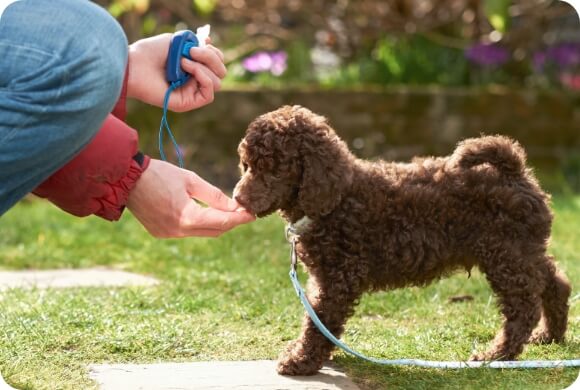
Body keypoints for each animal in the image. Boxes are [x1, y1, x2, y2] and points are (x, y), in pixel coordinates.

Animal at [232, 105, 572, 376]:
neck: (337, 199)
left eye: (274, 169)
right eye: (246, 165)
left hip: (506, 254)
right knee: (555, 282)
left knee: (523, 307)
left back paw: (497, 355)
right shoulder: (325, 277)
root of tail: (514, 171)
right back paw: (550, 335)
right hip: (523, 251)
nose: (237, 198)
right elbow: (316, 318)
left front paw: (301, 360)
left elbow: (319, 321)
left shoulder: (338, 277)